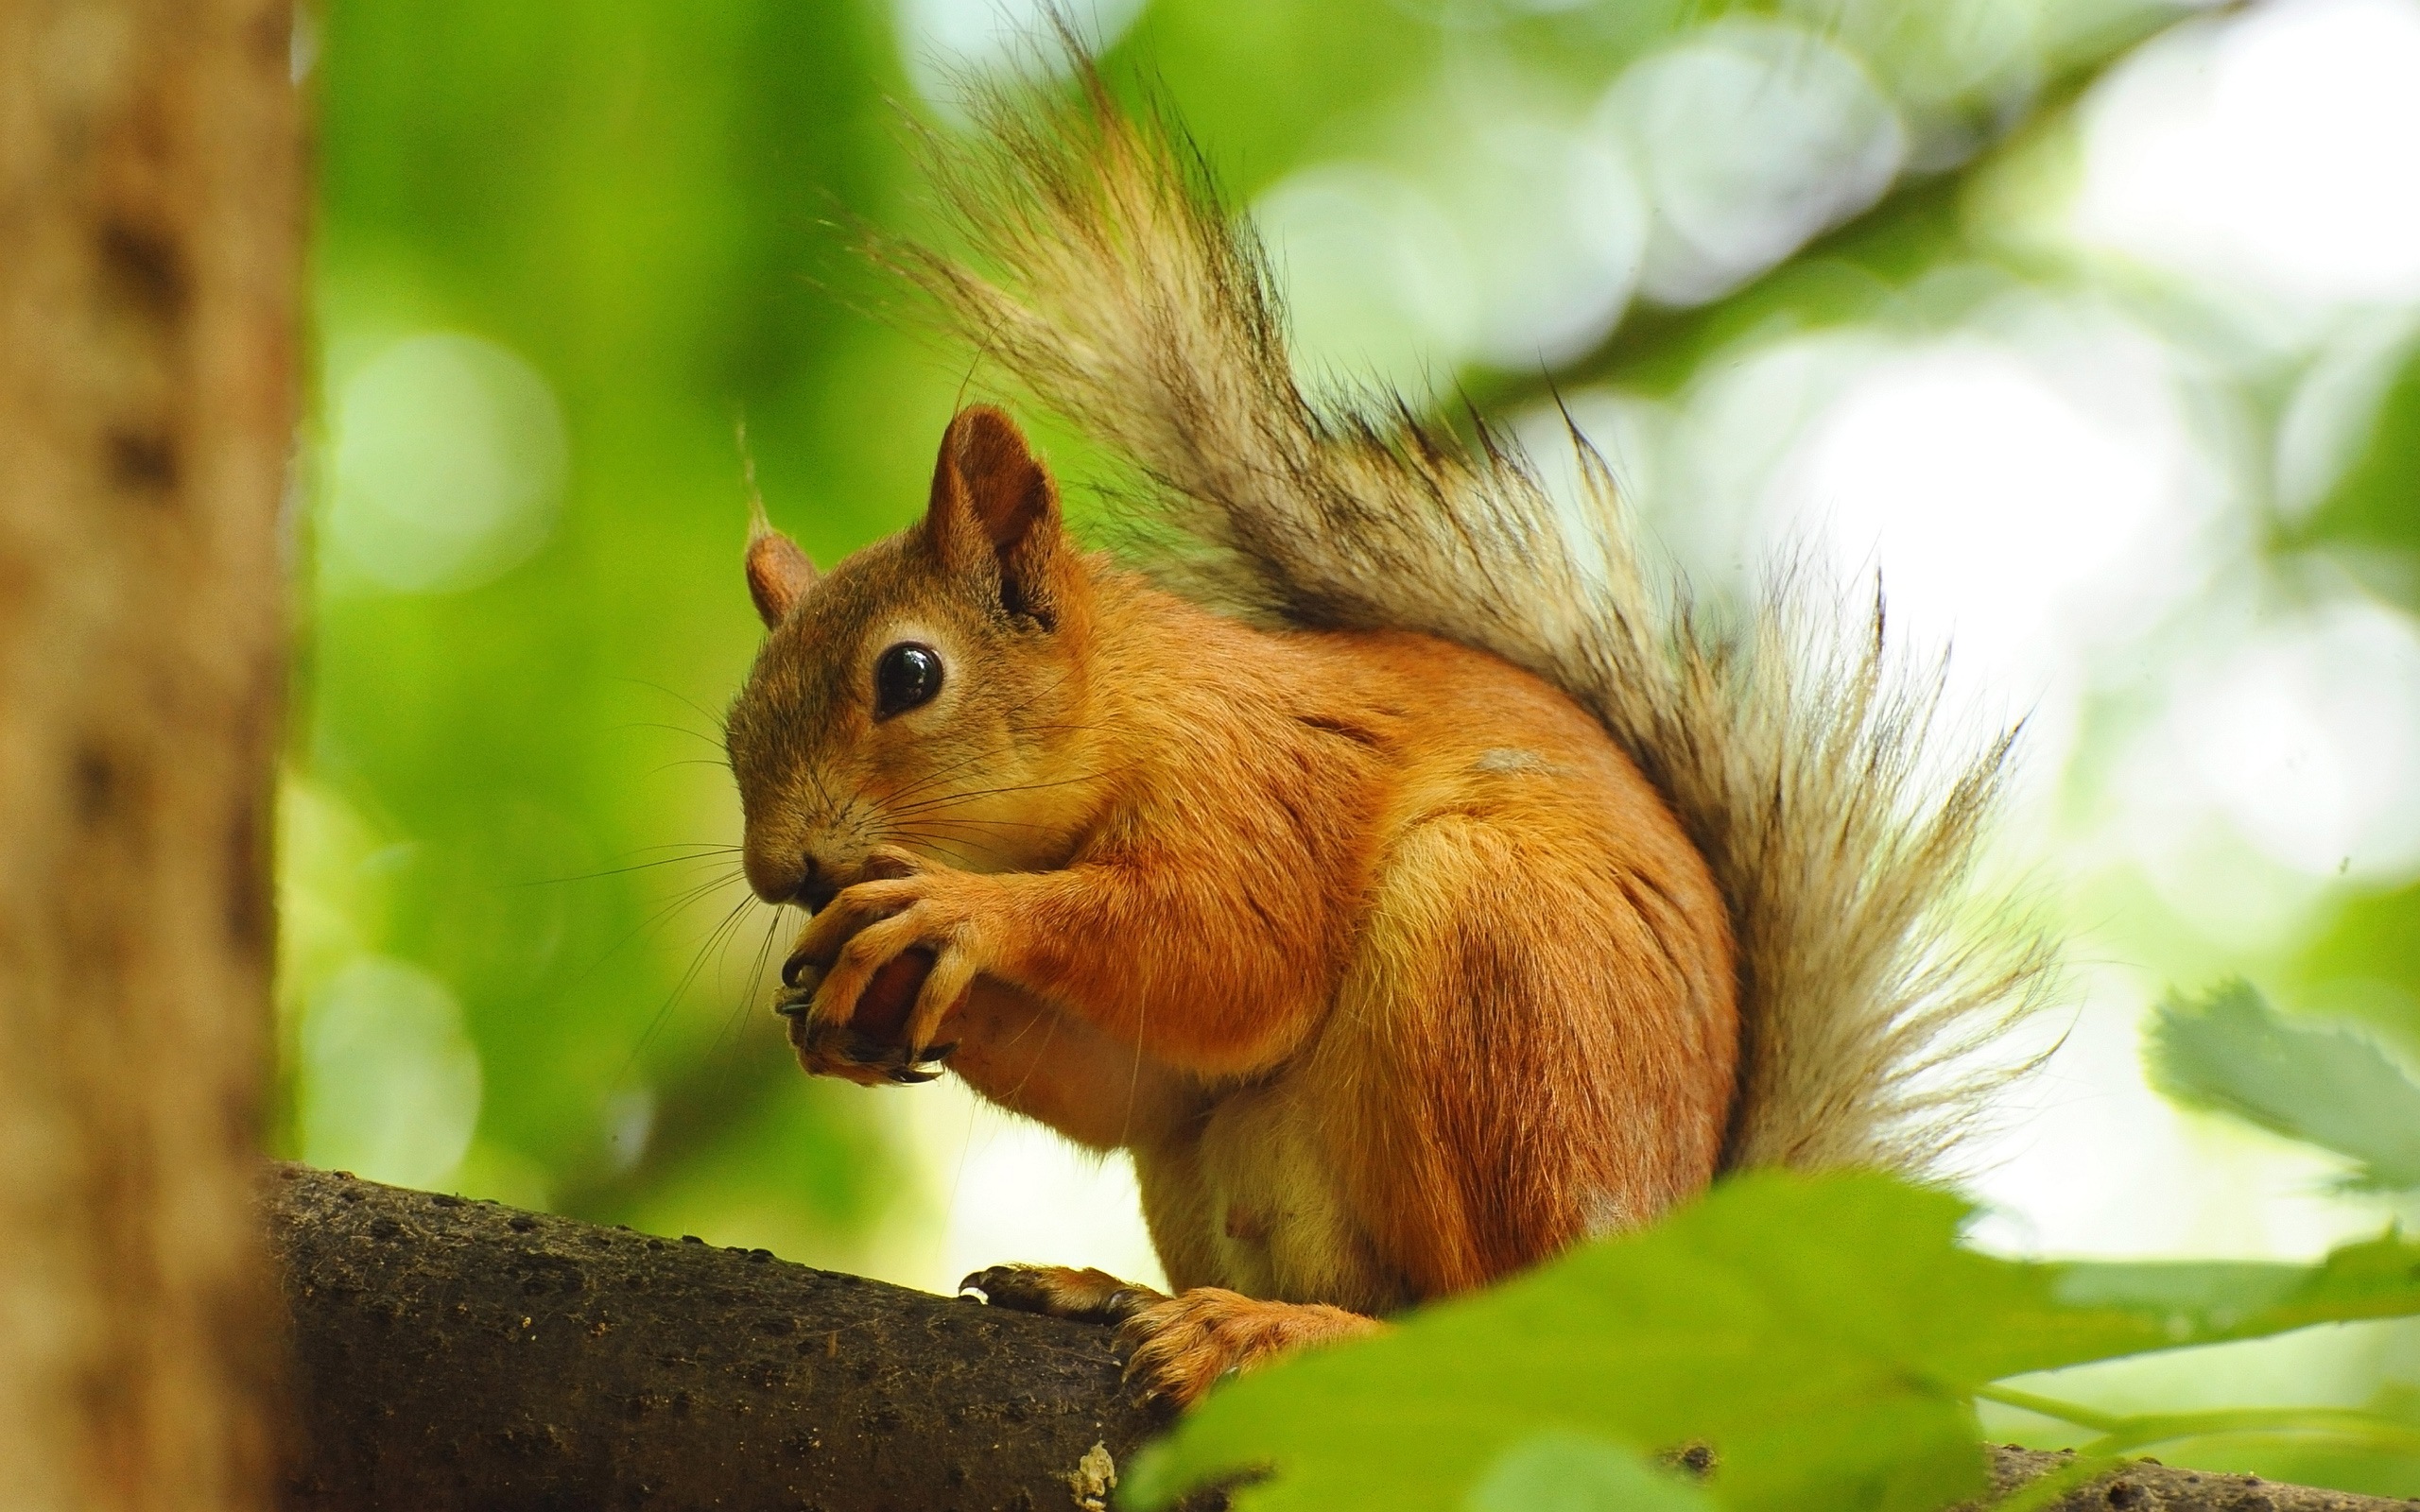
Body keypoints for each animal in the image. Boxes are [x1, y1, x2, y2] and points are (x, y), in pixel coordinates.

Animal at [720, 53, 2062, 1413]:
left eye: (909, 674)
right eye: (733, 721)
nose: (779, 871)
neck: (1139, 707)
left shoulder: (1267, 782)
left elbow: (1231, 953)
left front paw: (957, 912)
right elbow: (1134, 1080)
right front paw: (856, 1001)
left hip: (1495, 977)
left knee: (1486, 1327)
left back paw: (1274, 1331)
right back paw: (1112, 1291)